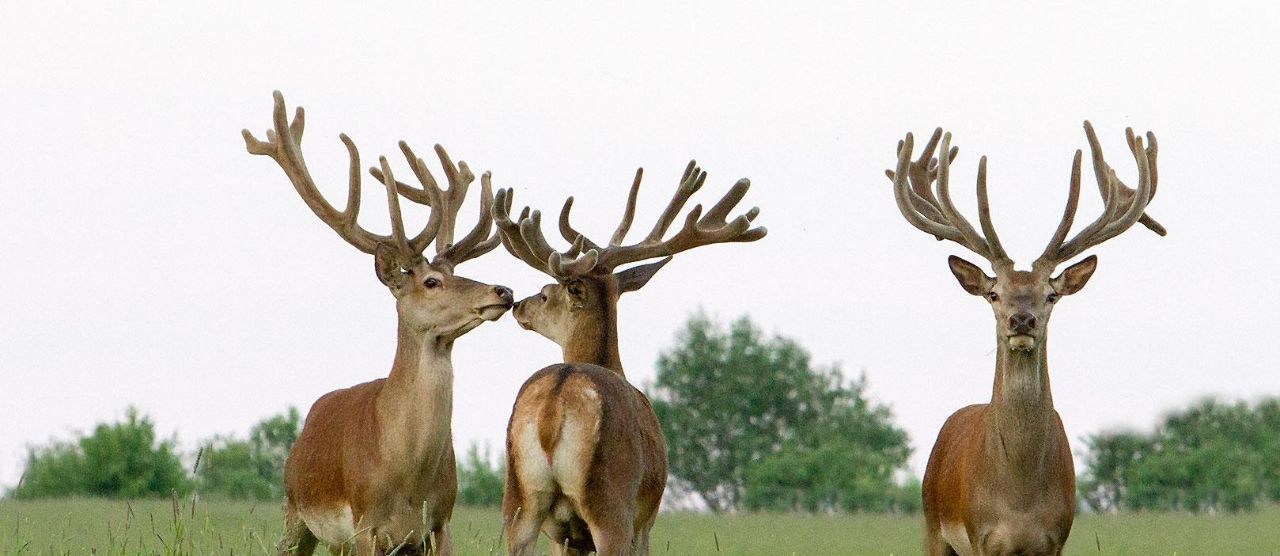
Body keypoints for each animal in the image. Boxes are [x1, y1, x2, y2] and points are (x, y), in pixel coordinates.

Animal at [241, 90, 512, 550]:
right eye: (432, 281)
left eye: (458, 273)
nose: (503, 292)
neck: (407, 476)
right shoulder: (366, 524)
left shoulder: (440, 522)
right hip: (296, 512)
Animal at [491, 162, 757, 556]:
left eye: (544, 293)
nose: (518, 305)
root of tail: (555, 401)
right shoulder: (645, 521)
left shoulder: (565, 536)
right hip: (611, 503)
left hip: (520, 503)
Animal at [885, 122, 1167, 556]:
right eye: (994, 293)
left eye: (1050, 295)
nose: (1022, 320)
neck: (1018, 502)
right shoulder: (980, 536)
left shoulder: (1056, 538)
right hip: (934, 529)